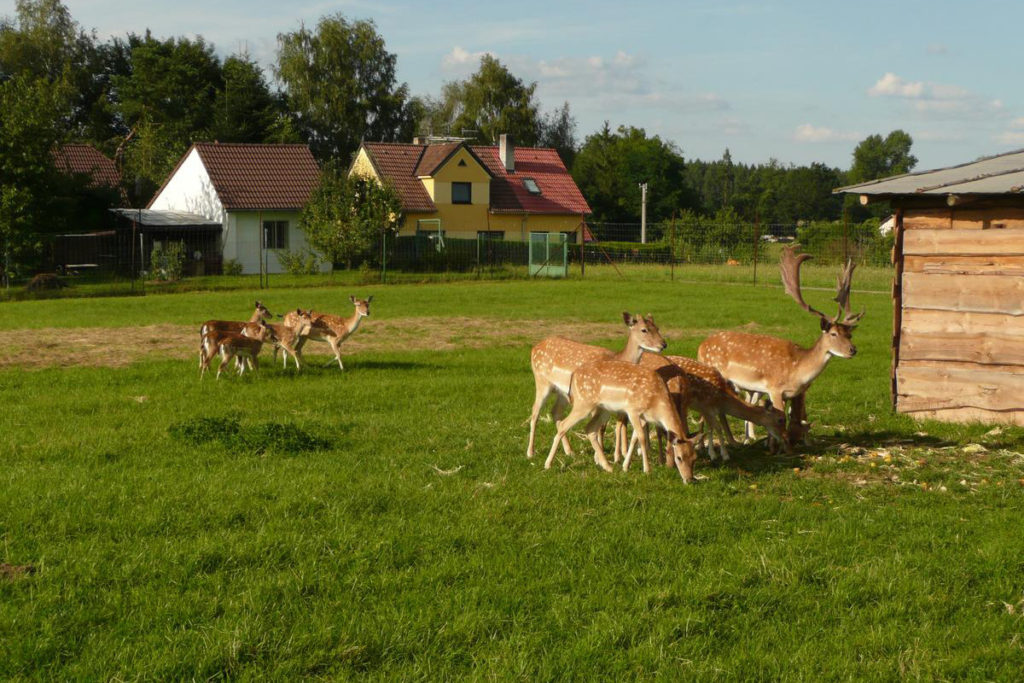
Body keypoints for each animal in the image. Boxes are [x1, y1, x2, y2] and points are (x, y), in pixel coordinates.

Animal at [524, 313, 667, 458]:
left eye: (657, 328)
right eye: (644, 330)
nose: (663, 344)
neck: (618, 358)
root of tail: (533, 349)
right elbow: (600, 427)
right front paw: (599, 455)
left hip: (563, 392)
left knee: (556, 412)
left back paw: (569, 451)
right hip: (541, 381)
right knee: (535, 411)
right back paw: (530, 452)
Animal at [544, 360, 704, 483]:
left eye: (695, 458)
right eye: (679, 457)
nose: (689, 479)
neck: (657, 403)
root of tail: (574, 376)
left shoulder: (643, 417)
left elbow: (634, 437)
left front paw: (625, 466)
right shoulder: (633, 410)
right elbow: (641, 437)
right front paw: (647, 469)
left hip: (602, 409)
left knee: (590, 429)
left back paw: (608, 466)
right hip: (583, 403)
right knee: (564, 425)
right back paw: (548, 464)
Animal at [700, 242, 860, 446]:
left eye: (849, 334)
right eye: (833, 333)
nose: (852, 350)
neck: (797, 370)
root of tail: (701, 346)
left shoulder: (795, 394)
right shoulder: (774, 388)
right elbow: (780, 416)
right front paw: (777, 446)